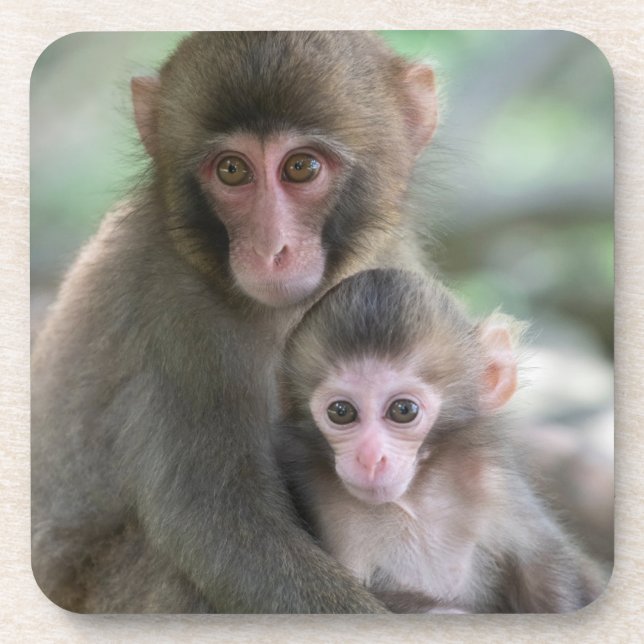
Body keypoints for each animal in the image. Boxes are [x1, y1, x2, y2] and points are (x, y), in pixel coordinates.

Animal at [31, 32, 440, 612]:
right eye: (231, 170)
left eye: (301, 168)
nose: (271, 249)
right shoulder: (175, 317)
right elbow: (225, 534)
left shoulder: (390, 265)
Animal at [277, 268, 606, 613]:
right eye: (341, 412)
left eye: (403, 410)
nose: (369, 458)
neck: (413, 501)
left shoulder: (491, 483)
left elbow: (543, 563)